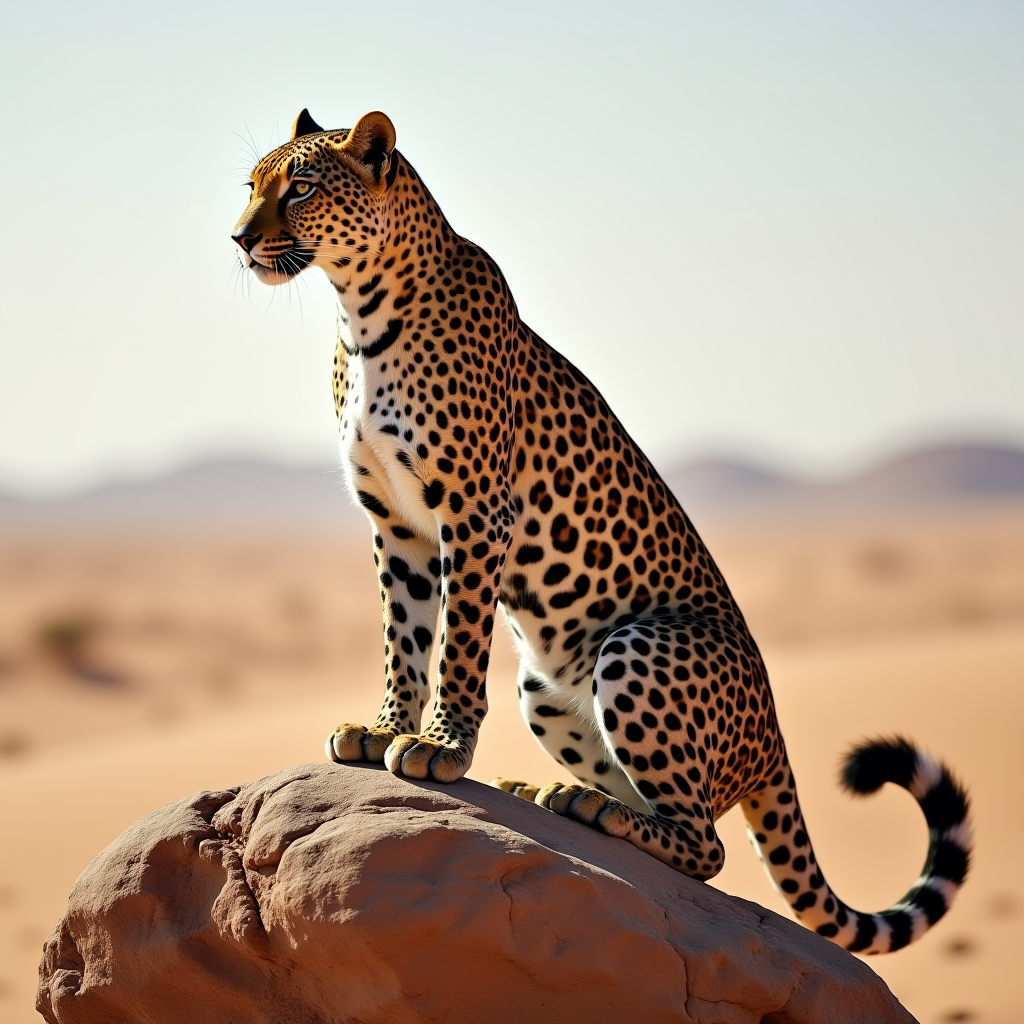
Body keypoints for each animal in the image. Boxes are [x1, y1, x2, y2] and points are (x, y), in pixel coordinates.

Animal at [234, 108, 974, 954]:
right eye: (251, 184)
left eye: (299, 188)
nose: (239, 238)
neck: (359, 311)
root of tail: (776, 741)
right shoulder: (397, 526)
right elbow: (406, 638)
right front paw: (384, 726)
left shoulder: (474, 513)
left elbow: (456, 645)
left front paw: (440, 748)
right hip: (547, 692)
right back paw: (547, 789)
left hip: (636, 645)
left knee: (706, 845)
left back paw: (591, 807)